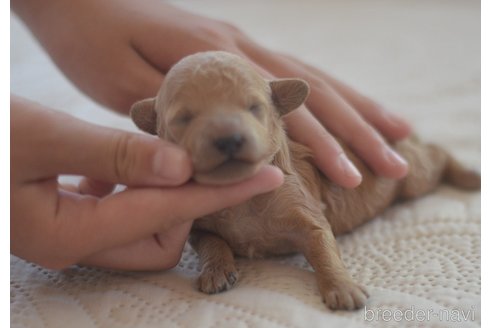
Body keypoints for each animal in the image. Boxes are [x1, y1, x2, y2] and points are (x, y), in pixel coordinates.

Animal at [131, 51, 480, 310]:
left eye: (254, 107)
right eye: (184, 118)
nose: (229, 139)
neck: (244, 198)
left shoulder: (303, 207)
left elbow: (323, 246)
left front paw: (343, 288)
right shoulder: (200, 224)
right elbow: (210, 241)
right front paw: (216, 270)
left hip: (409, 172)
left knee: (435, 155)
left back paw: (468, 174)